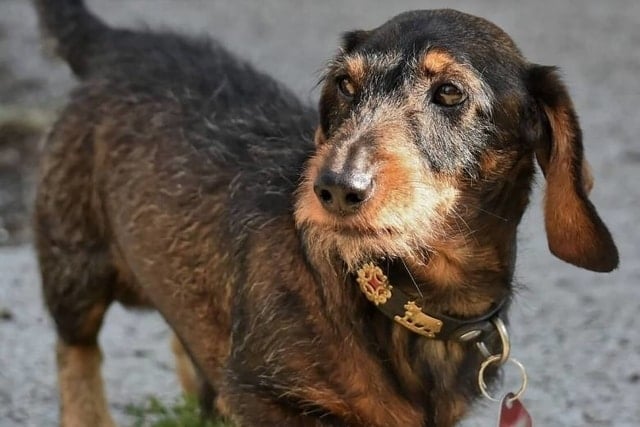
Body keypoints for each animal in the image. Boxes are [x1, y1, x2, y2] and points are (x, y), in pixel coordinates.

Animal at [32, 0, 616, 427]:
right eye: (345, 85)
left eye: (449, 92)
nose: (334, 188)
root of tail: (117, 45)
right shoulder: (266, 398)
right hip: (75, 267)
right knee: (75, 351)